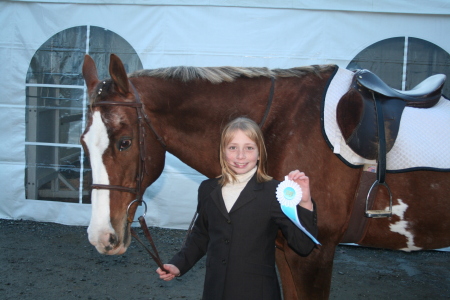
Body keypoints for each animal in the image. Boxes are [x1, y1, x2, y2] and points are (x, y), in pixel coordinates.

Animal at [79, 54, 448, 300]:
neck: (281, 124)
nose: (101, 236)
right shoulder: (286, 250)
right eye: (83, 142)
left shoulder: (314, 254)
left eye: (124, 142)